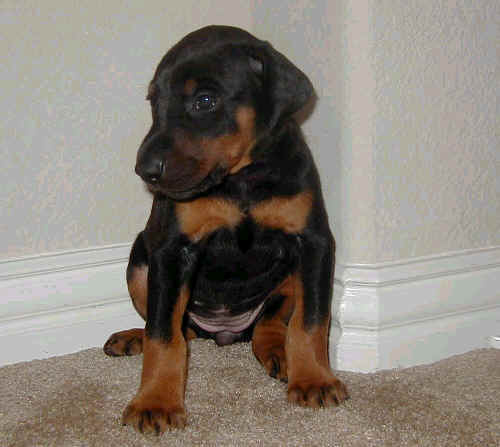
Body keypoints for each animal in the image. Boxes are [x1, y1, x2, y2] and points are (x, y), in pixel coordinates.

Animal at [103, 24, 348, 434]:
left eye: (205, 100)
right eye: (154, 101)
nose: (145, 171)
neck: (241, 180)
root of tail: (223, 332)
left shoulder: (314, 243)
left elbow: (311, 321)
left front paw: (314, 378)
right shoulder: (172, 251)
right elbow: (162, 335)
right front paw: (155, 401)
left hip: (287, 278)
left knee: (270, 322)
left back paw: (280, 353)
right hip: (140, 259)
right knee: (177, 327)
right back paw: (131, 338)